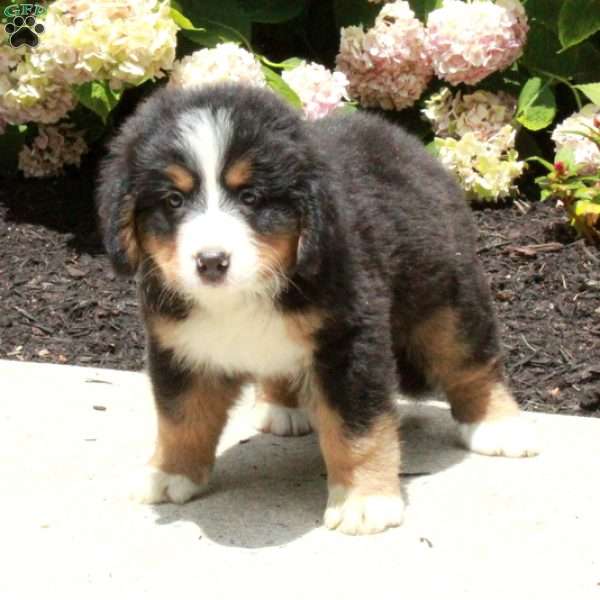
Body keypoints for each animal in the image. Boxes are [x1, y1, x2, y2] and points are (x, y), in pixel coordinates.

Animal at [95, 83, 540, 536]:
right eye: (174, 200)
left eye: (251, 197)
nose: (212, 261)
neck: (245, 294)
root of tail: (403, 142)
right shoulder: (179, 346)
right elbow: (181, 418)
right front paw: (170, 474)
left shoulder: (349, 342)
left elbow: (357, 428)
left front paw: (365, 501)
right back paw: (281, 407)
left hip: (446, 300)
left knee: (470, 362)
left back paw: (497, 425)